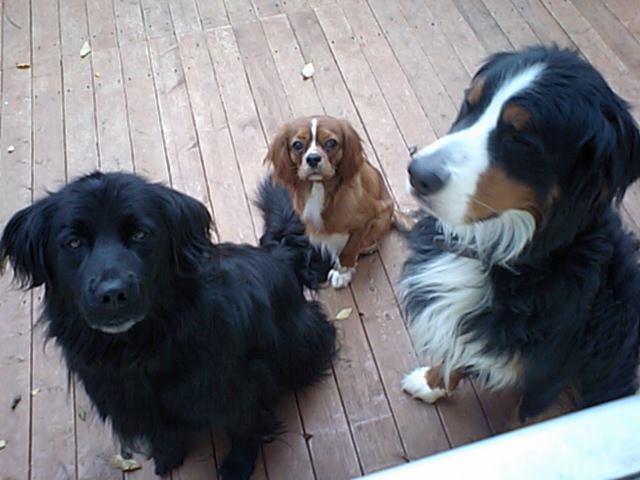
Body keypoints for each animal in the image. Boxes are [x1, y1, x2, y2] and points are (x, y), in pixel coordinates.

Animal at [0, 172, 337, 479]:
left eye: (141, 234)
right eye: (73, 242)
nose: (112, 294)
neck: (139, 347)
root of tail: (278, 255)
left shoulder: (246, 382)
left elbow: (244, 425)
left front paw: (237, 465)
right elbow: (163, 432)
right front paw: (168, 455)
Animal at [265, 115, 410, 289]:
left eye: (331, 143)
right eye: (297, 145)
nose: (313, 158)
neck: (320, 189)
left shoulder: (367, 219)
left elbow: (348, 250)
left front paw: (342, 273)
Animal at [400, 46, 640, 425]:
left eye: (520, 136)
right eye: (470, 104)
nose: (418, 174)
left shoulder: (547, 381)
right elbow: (455, 351)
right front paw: (431, 382)